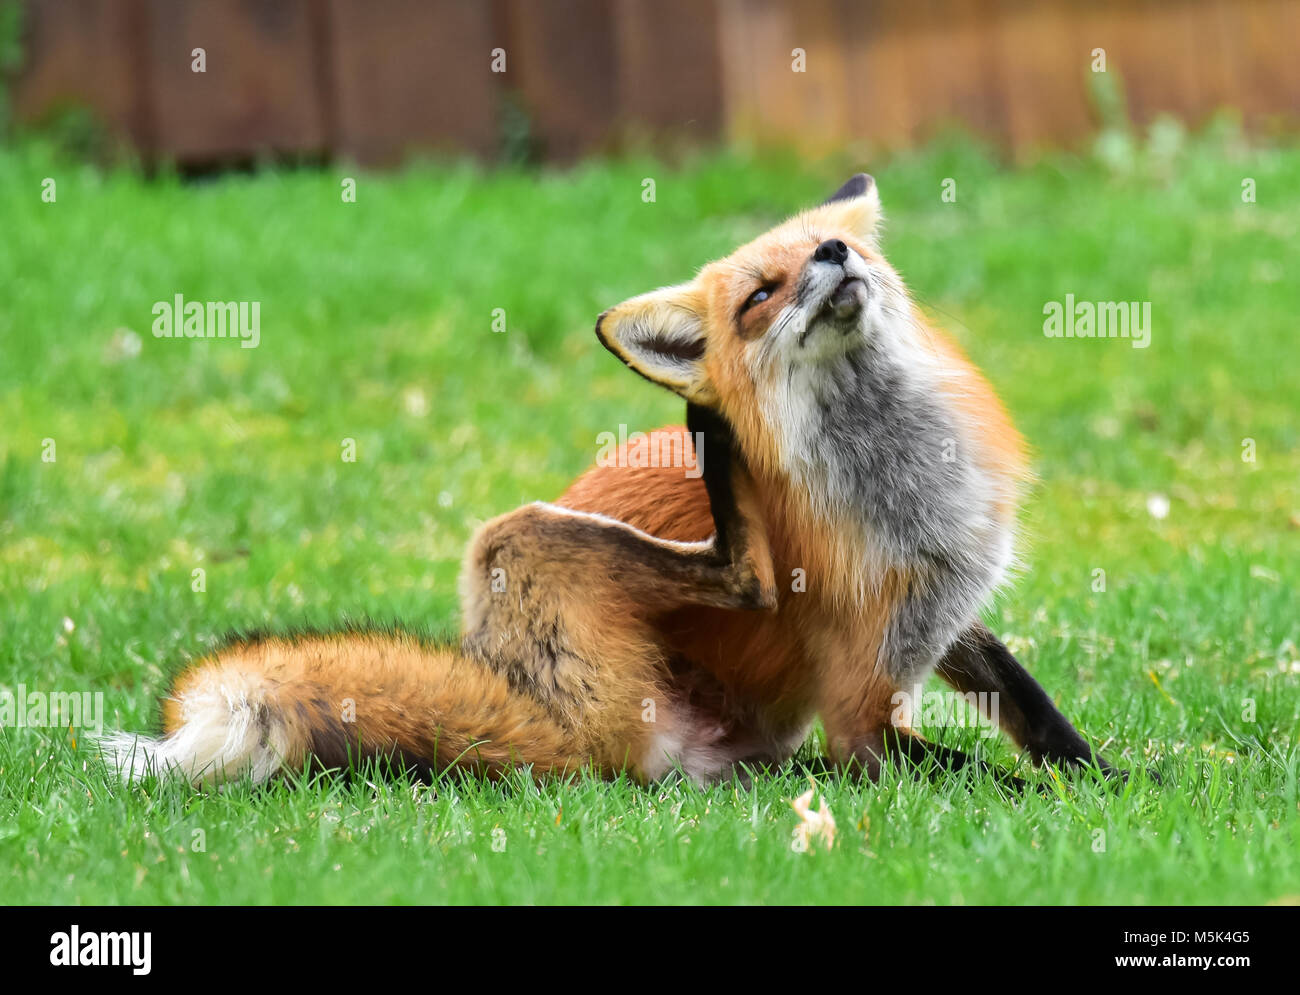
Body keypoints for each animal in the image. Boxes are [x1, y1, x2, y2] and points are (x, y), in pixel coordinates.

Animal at [104, 174, 1118, 785]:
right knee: (740, 572)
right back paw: (713, 438)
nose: (835, 255)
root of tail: (521, 693)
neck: (900, 483)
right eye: (760, 295)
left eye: (833, 246)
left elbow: (1032, 712)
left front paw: (1111, 773)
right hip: (518, 538)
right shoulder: (859, 720)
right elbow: (986, 774)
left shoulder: (944, 604)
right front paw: (1080, 803)